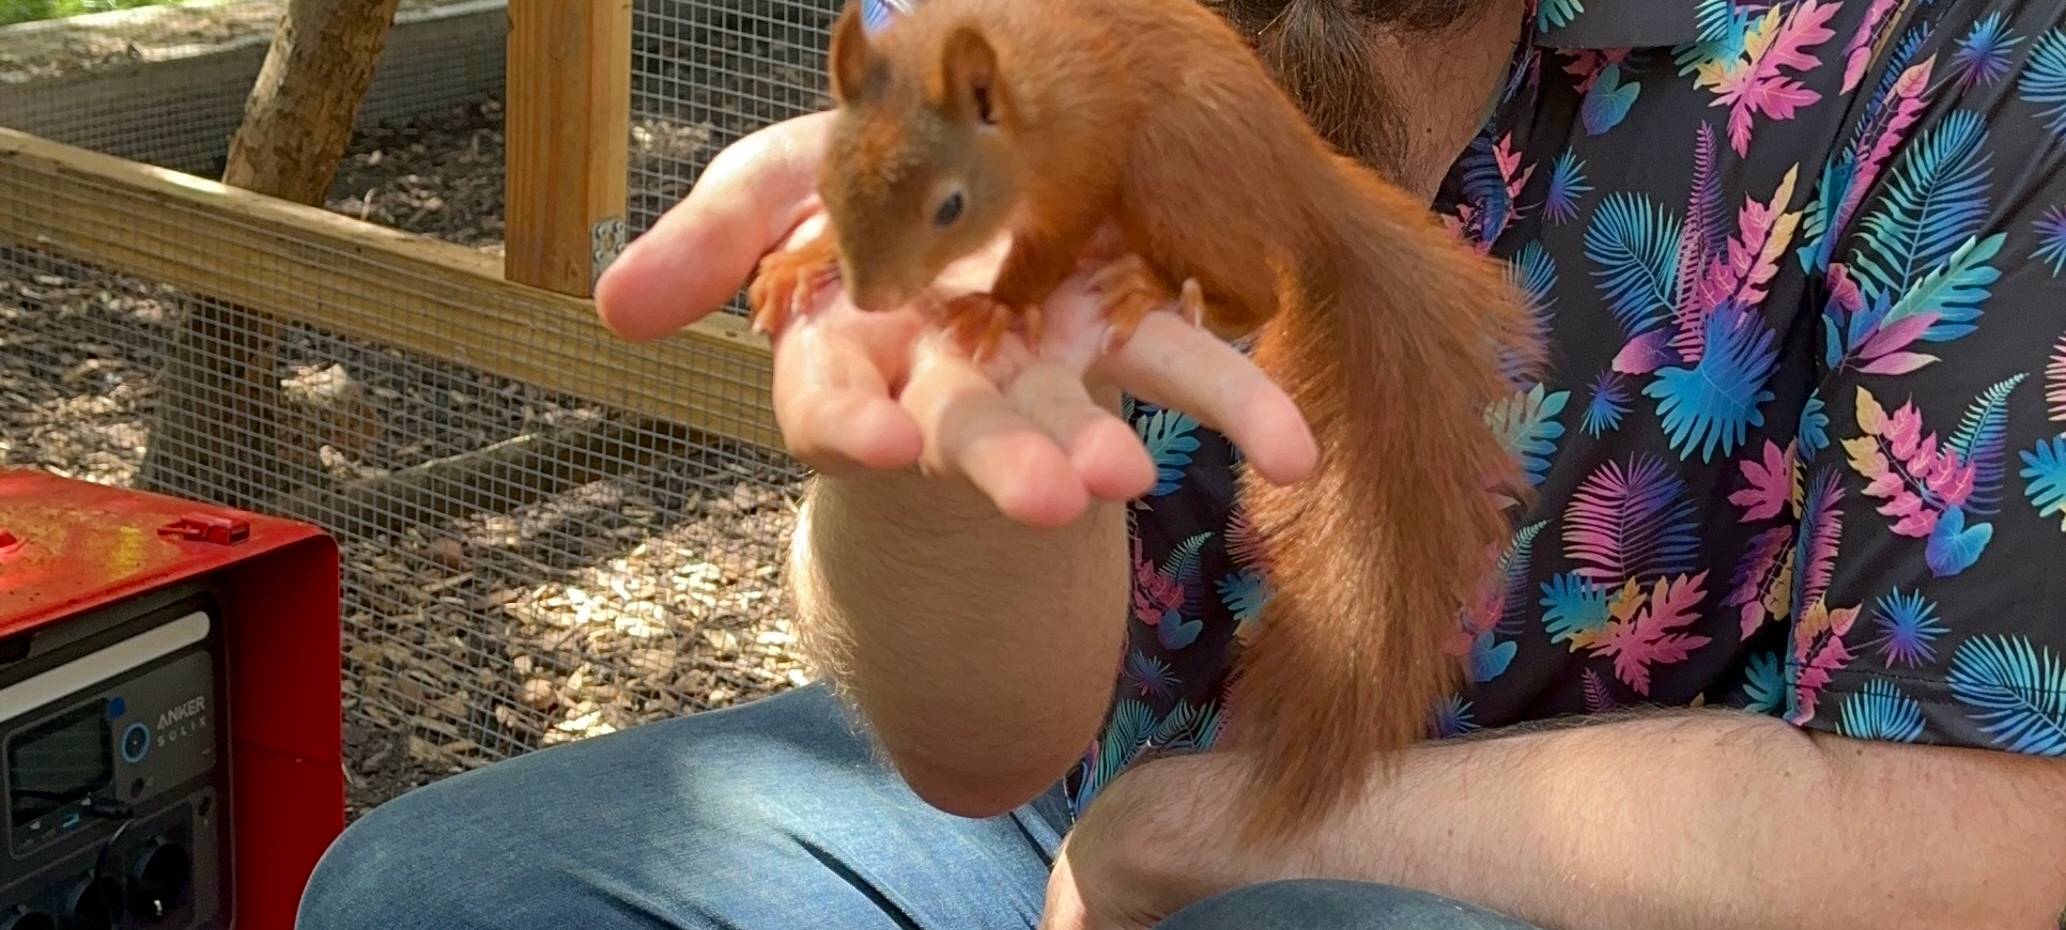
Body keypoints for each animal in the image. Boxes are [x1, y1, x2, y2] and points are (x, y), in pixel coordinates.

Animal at [747, 0, 1540, 849]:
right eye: (828, 181)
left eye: (951, 207)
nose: (870, 296)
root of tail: (1298, 169)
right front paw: (805, 262)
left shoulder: (1082, 161)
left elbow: (1045, 249)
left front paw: (992, 308)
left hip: (1173, 171)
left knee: (1255, 291)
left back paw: (1152, 288)